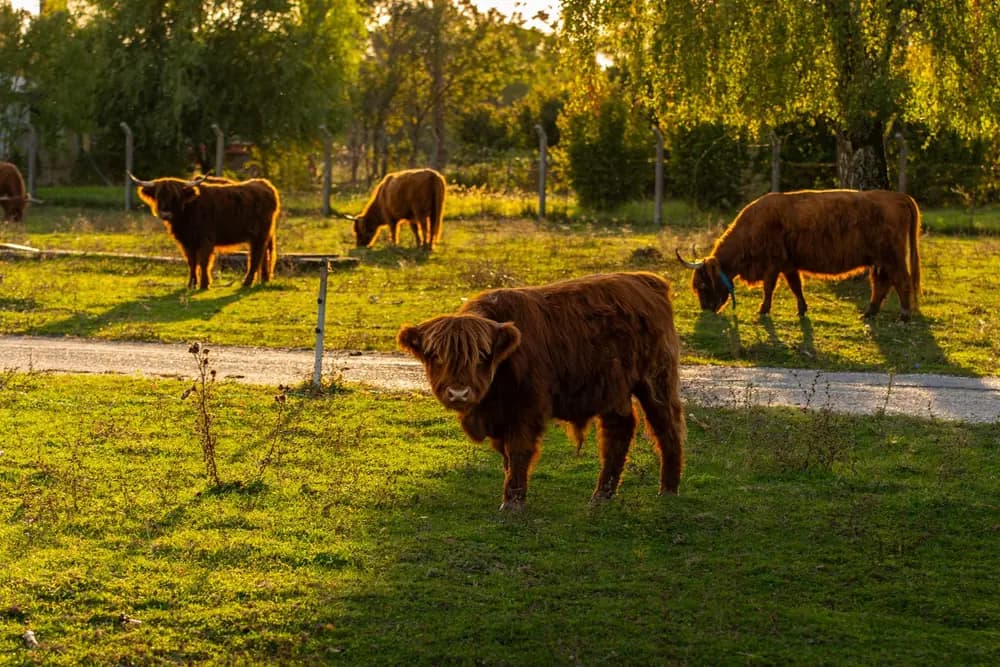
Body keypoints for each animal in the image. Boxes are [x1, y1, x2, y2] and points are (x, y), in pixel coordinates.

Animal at [130, 173, 280, 289]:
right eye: (158, 196)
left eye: (176, 197)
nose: (165, 214)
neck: (189, 211)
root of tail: (265, 184)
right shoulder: (187, 242)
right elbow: (192, 262)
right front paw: (191, 284)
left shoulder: (205, 239)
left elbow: (203, 261)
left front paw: (204, 284)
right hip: (264, 235)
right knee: (264, 254)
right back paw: (264, 279)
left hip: (260, 234)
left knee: (256, 256)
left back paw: (247, 282)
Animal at [397, 272, 686, 511]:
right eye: (436, 356)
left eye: (481, 355)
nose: (459, 393)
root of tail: (646, 280)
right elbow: (506, 455)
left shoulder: (527, 408)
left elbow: (518, 451)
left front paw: (513, 503)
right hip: (614, 389)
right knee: (620, 429)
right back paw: (601, 496)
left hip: (656, 380)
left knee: (667, 426)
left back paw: (668, 489)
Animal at [676, 189, 922, 321]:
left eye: (702, 285)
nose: (706, 310)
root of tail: (898, 196)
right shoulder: (789, 264)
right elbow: (796, 286)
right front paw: (802, 310)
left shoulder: (773, 264)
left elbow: (769, 287)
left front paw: (763, 310)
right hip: (880, 260)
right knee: (881, 284)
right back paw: (869, 313)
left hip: (893, 257)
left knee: (902, 281)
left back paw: (904, 316)